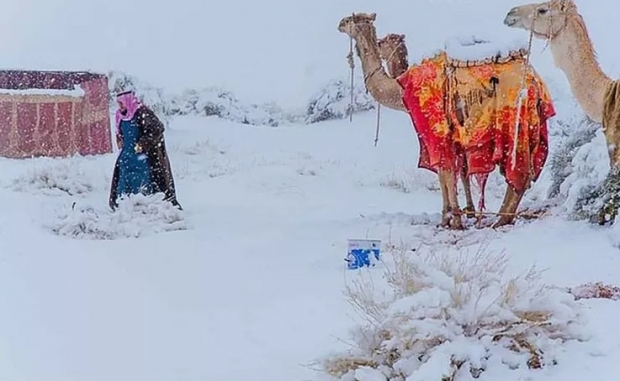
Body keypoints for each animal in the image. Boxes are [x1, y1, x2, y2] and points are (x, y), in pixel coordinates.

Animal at [340, 11, 556, 227]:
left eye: (350, 20)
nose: (340, 23)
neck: (400, 89)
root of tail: (535, 82)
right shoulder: (456, 136)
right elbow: (458, 172)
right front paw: (463, 213)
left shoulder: (434, 129)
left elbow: (444, 172)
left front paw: (451, 219)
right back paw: (502, 218)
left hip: (514, 119)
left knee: (519, 172)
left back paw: (500, 220)